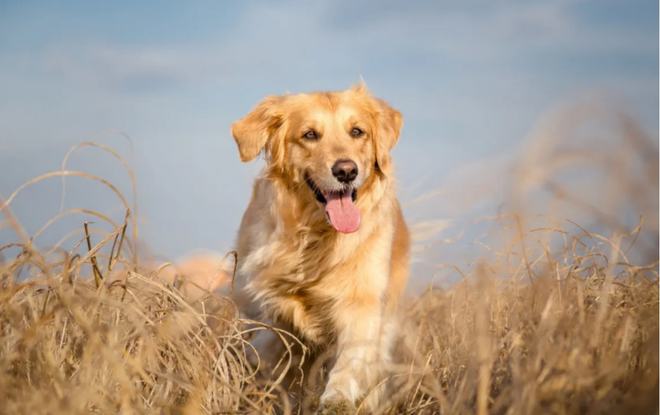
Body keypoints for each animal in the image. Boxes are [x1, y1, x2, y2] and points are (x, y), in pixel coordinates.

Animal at [229, 84, 410, 412]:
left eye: (357, 131)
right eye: (310, 134)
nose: (346, 171)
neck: (316, 236)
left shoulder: (362, 302)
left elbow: (351, 359)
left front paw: (337, 397)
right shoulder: (263, 304)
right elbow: (272, 347)